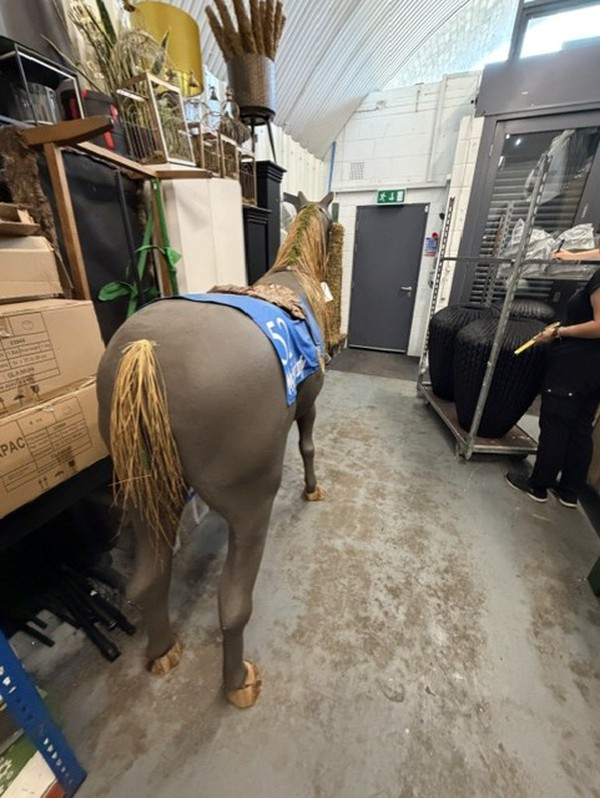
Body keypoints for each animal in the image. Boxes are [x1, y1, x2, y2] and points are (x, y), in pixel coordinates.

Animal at [96, 191, 334, 708]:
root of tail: (146, 350)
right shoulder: (308, 404)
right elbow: (307, 447)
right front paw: (313, 490)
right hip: (250, 506)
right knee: (233, 606)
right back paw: (238, 681)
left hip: (147, 495)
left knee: (148, 579)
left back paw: (163, 652)